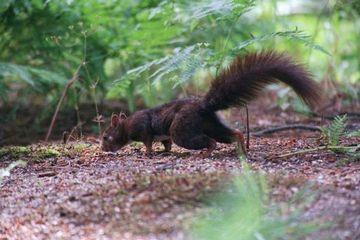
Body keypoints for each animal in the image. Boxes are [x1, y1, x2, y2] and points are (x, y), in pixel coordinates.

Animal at [101, 50, 324, 158]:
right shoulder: (163, 136)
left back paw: (205, 153)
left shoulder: (143, 129)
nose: (103, 149)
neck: (126, 125)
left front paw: (148, 153)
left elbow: (149, 142)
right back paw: (241, 149)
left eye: (105, 136)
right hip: (210, 124)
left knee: (210, 142)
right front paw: (164, 152)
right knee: (234, 134)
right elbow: (166, 143)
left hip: (183, 130)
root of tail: (203, 106)